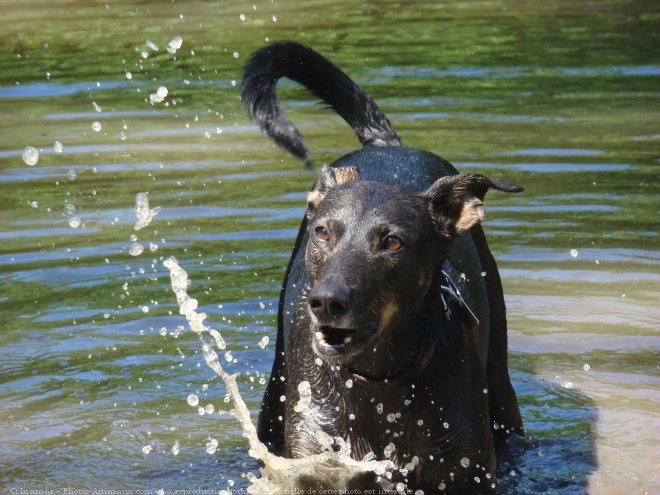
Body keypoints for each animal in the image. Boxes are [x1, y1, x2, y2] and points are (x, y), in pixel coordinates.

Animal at [240, 41, 524, 492]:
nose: (326, 302)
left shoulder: (466, 468)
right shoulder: (314, 458)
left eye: (392, 241)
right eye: (322, 232)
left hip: (500, 387)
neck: (377, 377)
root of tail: (384, 144)